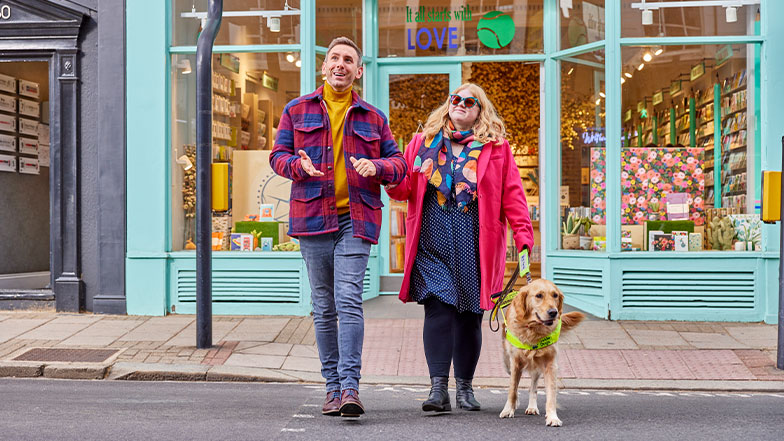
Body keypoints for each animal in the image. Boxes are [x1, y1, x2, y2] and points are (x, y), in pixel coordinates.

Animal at [500, 278, 584, 426]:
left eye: (555, 295)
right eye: (539, 295)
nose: (553, 312)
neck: (534, 330)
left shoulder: (550, 364)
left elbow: (551, 394)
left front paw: (552, 417)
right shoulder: (515, 362)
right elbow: (512, 389)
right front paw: (508, 409)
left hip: (536, 367)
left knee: (533, 387)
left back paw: (532, 407)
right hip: (508, 363)